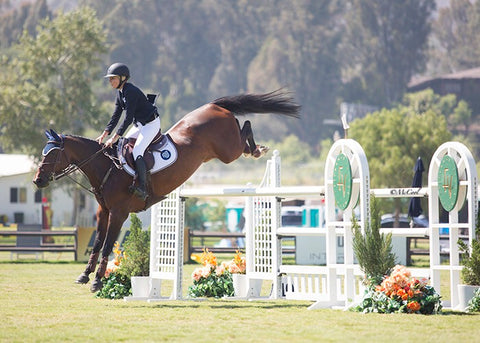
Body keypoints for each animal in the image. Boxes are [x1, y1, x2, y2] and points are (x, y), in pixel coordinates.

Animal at [34, 90, 300, 292]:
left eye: (52, 154)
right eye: (43, 153)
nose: (38, 181)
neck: (106, 166)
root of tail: (213, 106)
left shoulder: (119, 213)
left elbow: (108, 244)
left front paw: (97, 281)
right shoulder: (103, 211)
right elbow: (98, 242)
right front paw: (85, 275)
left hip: (227, 151)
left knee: (245, 127)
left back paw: (258, 149)